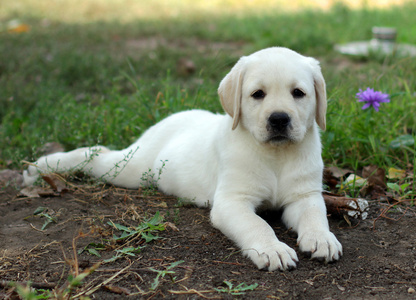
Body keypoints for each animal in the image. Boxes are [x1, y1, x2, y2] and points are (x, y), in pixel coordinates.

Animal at [23, 47, 342, 272]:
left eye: (298, 93)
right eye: (257, 94)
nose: (279, 119)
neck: (275, 155)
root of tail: (170, 118)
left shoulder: (304, 194)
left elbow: (315, 215)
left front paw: (322, 238)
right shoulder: (231, 202)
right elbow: (257, 224)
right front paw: (271, 249)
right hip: (129, 169)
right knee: (96, 154)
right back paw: (42, 166)